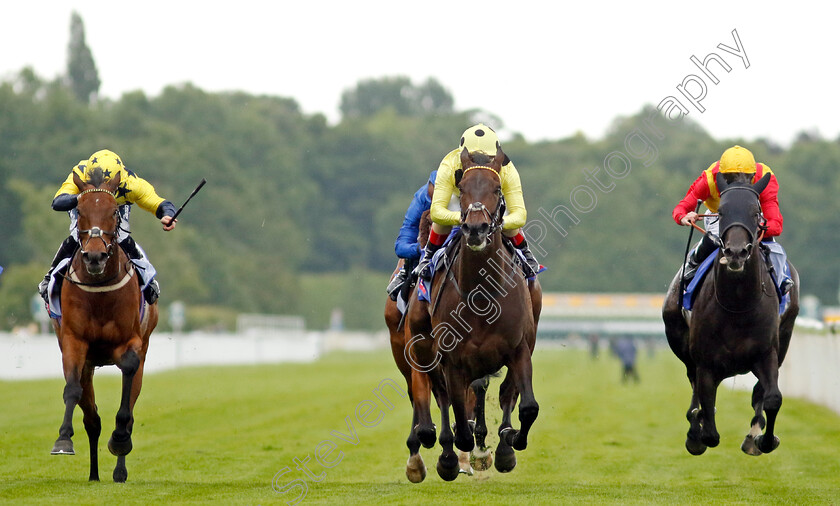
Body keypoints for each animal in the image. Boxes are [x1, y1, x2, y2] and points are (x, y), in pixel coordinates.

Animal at [49, 167, 159, 482]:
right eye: (80, 211)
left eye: (113, 212)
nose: (95, 256)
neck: (99, 291)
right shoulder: (74, 343)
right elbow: (72, 390)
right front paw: (63, 440)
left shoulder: (131, 343)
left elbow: (126, 401)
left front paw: (119, 440)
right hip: (88, 364)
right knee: (92, 419)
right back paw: (94, 474)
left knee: (128, 409)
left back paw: (118, 468)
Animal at [408, 147, 544, 482]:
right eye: (463, 188)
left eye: (497, 189)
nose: (476, 228)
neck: (482, 293)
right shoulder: (453, 359)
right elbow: (458, 416)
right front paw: (455, 453)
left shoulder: (520, 349)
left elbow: (526, 405)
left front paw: (510, 440)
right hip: (425, 343)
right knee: (442, 398)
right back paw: (444, 452)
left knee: (502, 393)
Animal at [664, 172, 800, 456]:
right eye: (722, 212)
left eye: (755, 211)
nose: (736, 252)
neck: (738, 306)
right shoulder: (705, 361)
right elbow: (708, 421)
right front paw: (697, 432)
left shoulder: (767, 352)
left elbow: (772, 398)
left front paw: (763, 440)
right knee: (694, 386)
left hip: (785, 336)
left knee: (760, 392)